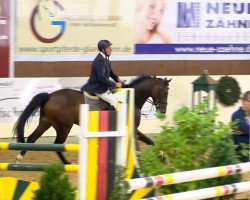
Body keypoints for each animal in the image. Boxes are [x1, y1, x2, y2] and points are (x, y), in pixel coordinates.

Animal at [14, 75, 172, 164]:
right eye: (164, 92)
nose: (163, 111)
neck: (131, 99)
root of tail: (50, 95)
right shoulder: (132, 129)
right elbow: (147, 142)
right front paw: (161, 157)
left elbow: (148, 142)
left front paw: (162, 157)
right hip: (64, 127)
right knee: (57, 144)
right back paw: (67, 163)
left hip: (46, 122)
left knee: (32, 138)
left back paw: (19, 158)